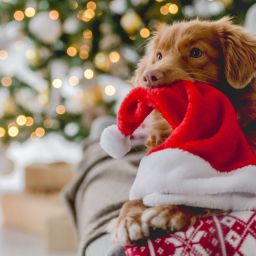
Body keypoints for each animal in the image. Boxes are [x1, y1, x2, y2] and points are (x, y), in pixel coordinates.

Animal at [110, 17, 256, 245]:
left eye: (196, 52)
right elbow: (133, 200)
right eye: (159, 55)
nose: (149, 76)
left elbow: (201, 196)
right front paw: (127, 220)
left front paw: (168, 210)